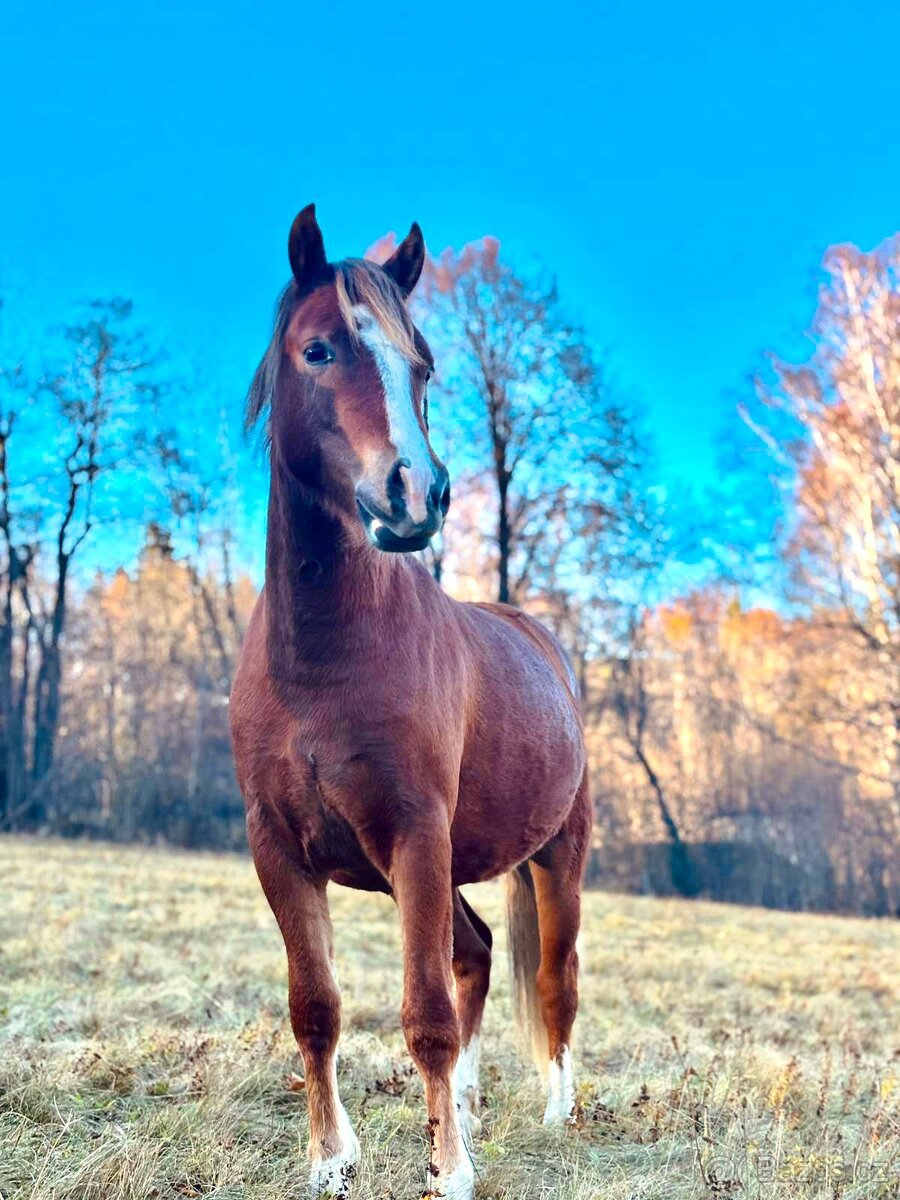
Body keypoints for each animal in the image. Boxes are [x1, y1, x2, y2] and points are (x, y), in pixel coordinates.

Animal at [230, 204, 592, 1199]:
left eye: (420, 365)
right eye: (318, 350)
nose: (416, 494)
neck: (324, 663)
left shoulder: (416, 839)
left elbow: (424, 1010)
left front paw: (450, 1172)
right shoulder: (280, 850)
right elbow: (315, 1007)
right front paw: (330, 1160)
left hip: (557, 857)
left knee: (552, 980)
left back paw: (554, 1112)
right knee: (477, 953)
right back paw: (465, 1105)